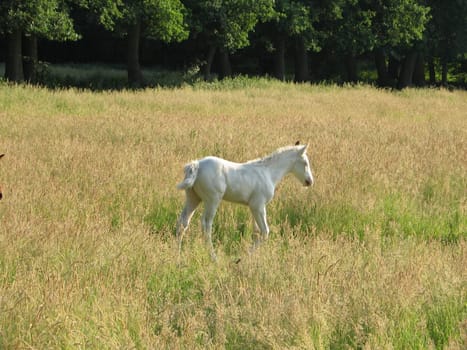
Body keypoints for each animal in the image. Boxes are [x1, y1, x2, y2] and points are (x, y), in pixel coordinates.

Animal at [176, 143, 314, 260]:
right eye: (305, 162)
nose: (309, 181)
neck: (268, 173)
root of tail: (197, 165)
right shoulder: (258, 206)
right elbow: (265, 231)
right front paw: (242, 257)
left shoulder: (254, 208)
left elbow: (257, 232)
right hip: (212, 200)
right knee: (206, 224)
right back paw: (213, 257)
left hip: (193, 198)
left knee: (183, 222)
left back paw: (177, 254)